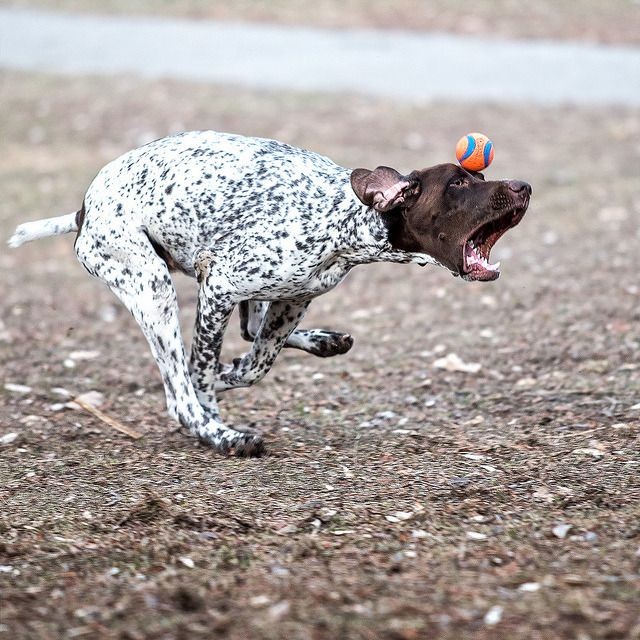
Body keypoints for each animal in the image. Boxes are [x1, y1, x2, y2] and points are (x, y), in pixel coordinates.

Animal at [8, 131, 528, 456]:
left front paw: (232, 371)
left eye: (481, 178)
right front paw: (214, 399)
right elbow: (203, 373)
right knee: (180, 396)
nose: (523, 186)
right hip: (152, 287)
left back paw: (322, 342)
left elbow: (254, 363)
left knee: (249, 333)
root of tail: (84, 210)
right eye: (458, 183)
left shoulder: (292, 299)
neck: (342, 218)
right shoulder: (219, 288)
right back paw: (220, 435)